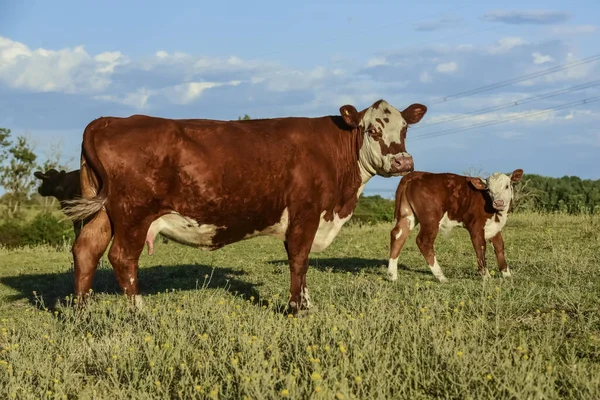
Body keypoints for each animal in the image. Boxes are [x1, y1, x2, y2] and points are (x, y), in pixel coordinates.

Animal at [63, 99, 428, 312]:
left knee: (86, 250)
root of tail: (110, 120)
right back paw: (140, 311)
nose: (403, 162)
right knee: (122, 258)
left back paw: (82, 312)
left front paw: (306, 302)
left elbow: (302, 263)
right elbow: (299, 259)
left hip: (102, 214)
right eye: (373, 129)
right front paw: (296, 308)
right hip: (133, 214)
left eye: (405, 128)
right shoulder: (305, 212)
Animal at [386, 169, 524, 282]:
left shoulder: (494, 227)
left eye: (507, 186)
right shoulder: (475, 226)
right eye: (488, 189)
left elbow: (499, 247)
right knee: (424, 241)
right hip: (431, 219)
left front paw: (507, 274)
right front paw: (486, 276)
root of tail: (417, 174)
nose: (498, 202)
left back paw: (392, 275)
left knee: (398, 235)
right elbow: (480, 247)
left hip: (407, 215)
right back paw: (441, 276)